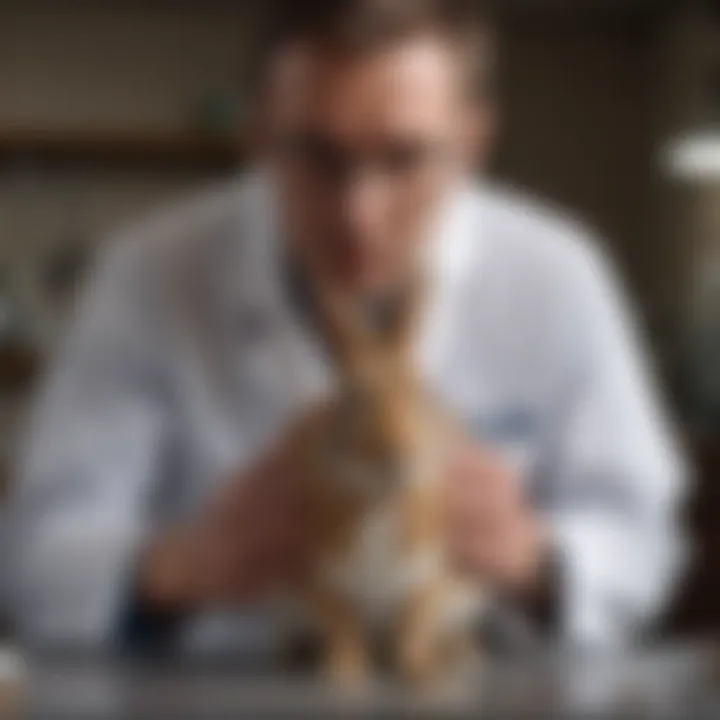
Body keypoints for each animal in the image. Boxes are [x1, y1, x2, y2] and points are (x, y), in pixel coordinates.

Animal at [282, 276, 490, 688]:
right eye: (353, 396)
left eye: (420, 391)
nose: (399, 455)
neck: (379, 496)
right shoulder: (321, 582)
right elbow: (343, 628)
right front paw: (341, 674)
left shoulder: (427, 579)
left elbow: (414, 626)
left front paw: (420, 672)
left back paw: (460, 658)